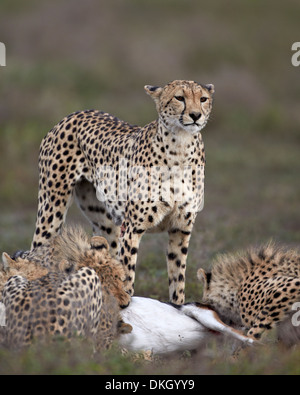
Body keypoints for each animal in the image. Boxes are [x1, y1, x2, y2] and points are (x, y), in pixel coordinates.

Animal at [27, 79, 213, 304]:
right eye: (179, 98)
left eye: (203, 99)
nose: (195, 115)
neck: (181, 148)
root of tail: (75, 113)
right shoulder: (132, 227)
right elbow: (127, 273)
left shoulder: (180, 229)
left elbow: (177, 281)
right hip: (52, 210)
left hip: (105, 224)